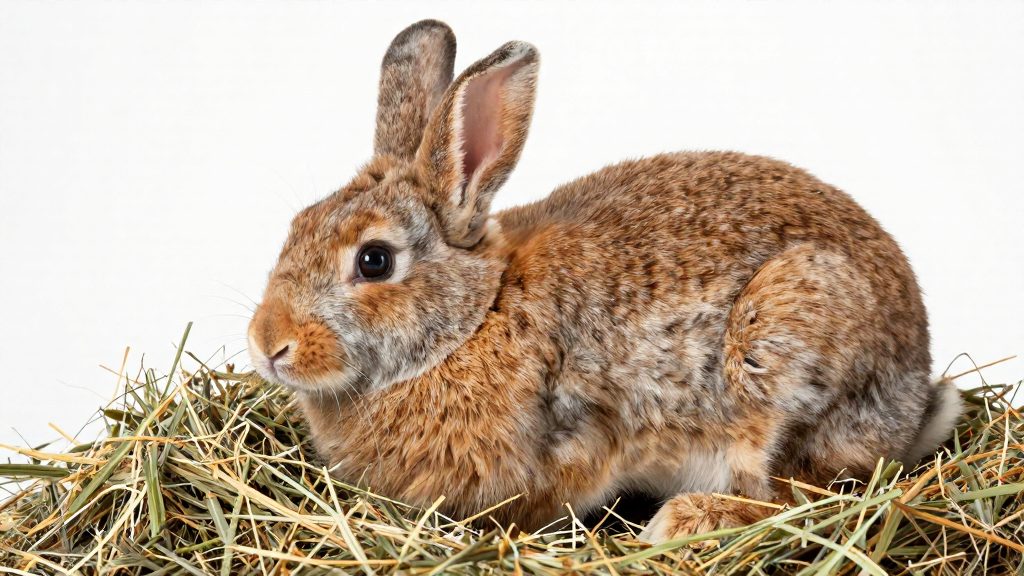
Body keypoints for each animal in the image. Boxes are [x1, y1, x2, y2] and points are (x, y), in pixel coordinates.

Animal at [247, 19, 962, 543]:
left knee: (803, 496)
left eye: (373, 261)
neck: (476, 317)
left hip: (780, 352)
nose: (266, 344)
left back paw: (687, 521)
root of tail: (913, 394)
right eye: (297, 225)